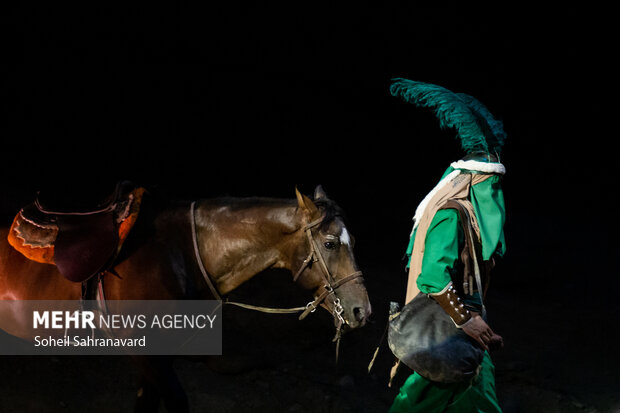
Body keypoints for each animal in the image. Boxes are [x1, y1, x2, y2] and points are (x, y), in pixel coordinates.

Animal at [0, 185, 368, 410]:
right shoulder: (148, 356)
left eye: (351, 242)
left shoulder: (157, 360)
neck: (183, 253)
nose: (362, 310)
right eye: (330, 243)